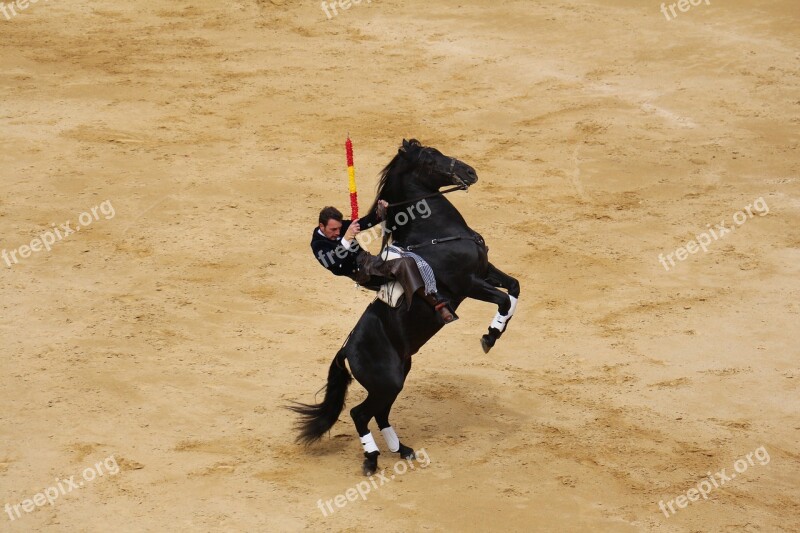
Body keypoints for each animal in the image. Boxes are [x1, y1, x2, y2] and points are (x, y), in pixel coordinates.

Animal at [290, 138, 520, 474]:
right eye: (429, 159)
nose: (469, 171)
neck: (434, 232)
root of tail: (346, 349)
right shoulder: (467, 283)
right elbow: (503, 298)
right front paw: (489, 337)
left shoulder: (485, 270)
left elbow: (514, 288)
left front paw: (497, 330)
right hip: (387, 381)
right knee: (361, 413)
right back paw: (372, 459)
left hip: (397, 375)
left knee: (380, 413)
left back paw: (403, 450)